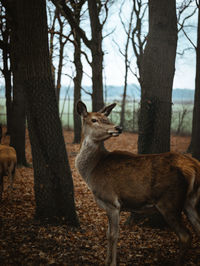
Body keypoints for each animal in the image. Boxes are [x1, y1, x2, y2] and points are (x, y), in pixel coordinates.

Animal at [74, 100, 200, 266]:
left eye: (106, 118)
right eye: (94, 119)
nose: (118, 127)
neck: (92, 170)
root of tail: (194, 166)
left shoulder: (112, 202)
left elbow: (113, 235)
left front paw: (112, 263)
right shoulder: (111, 206)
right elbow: (108, 233)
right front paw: (106, 261)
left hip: (169, 202)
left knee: (185, 236)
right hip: (190, 201)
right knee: (198, 228)